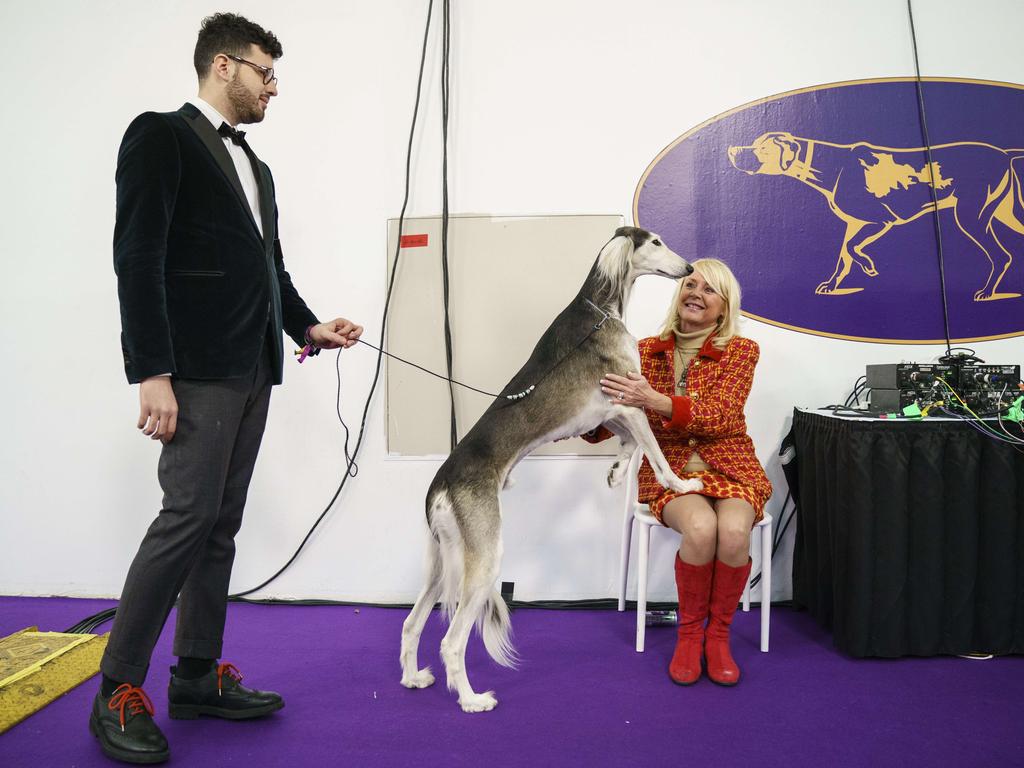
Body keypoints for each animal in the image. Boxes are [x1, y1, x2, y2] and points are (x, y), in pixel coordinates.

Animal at [399, 227, 704, 716]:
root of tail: (441, 482)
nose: (690, 268)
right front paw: (681, 482)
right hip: (485, 557)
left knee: (411, 624)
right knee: (451, 642)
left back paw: (412, 678)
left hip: (441, 557)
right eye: (656, 242)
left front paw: (617, 473)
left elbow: (632, 446)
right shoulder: (628, 399)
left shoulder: (608, 411)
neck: (600, 309)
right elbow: (654, 453)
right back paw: (472, 700)